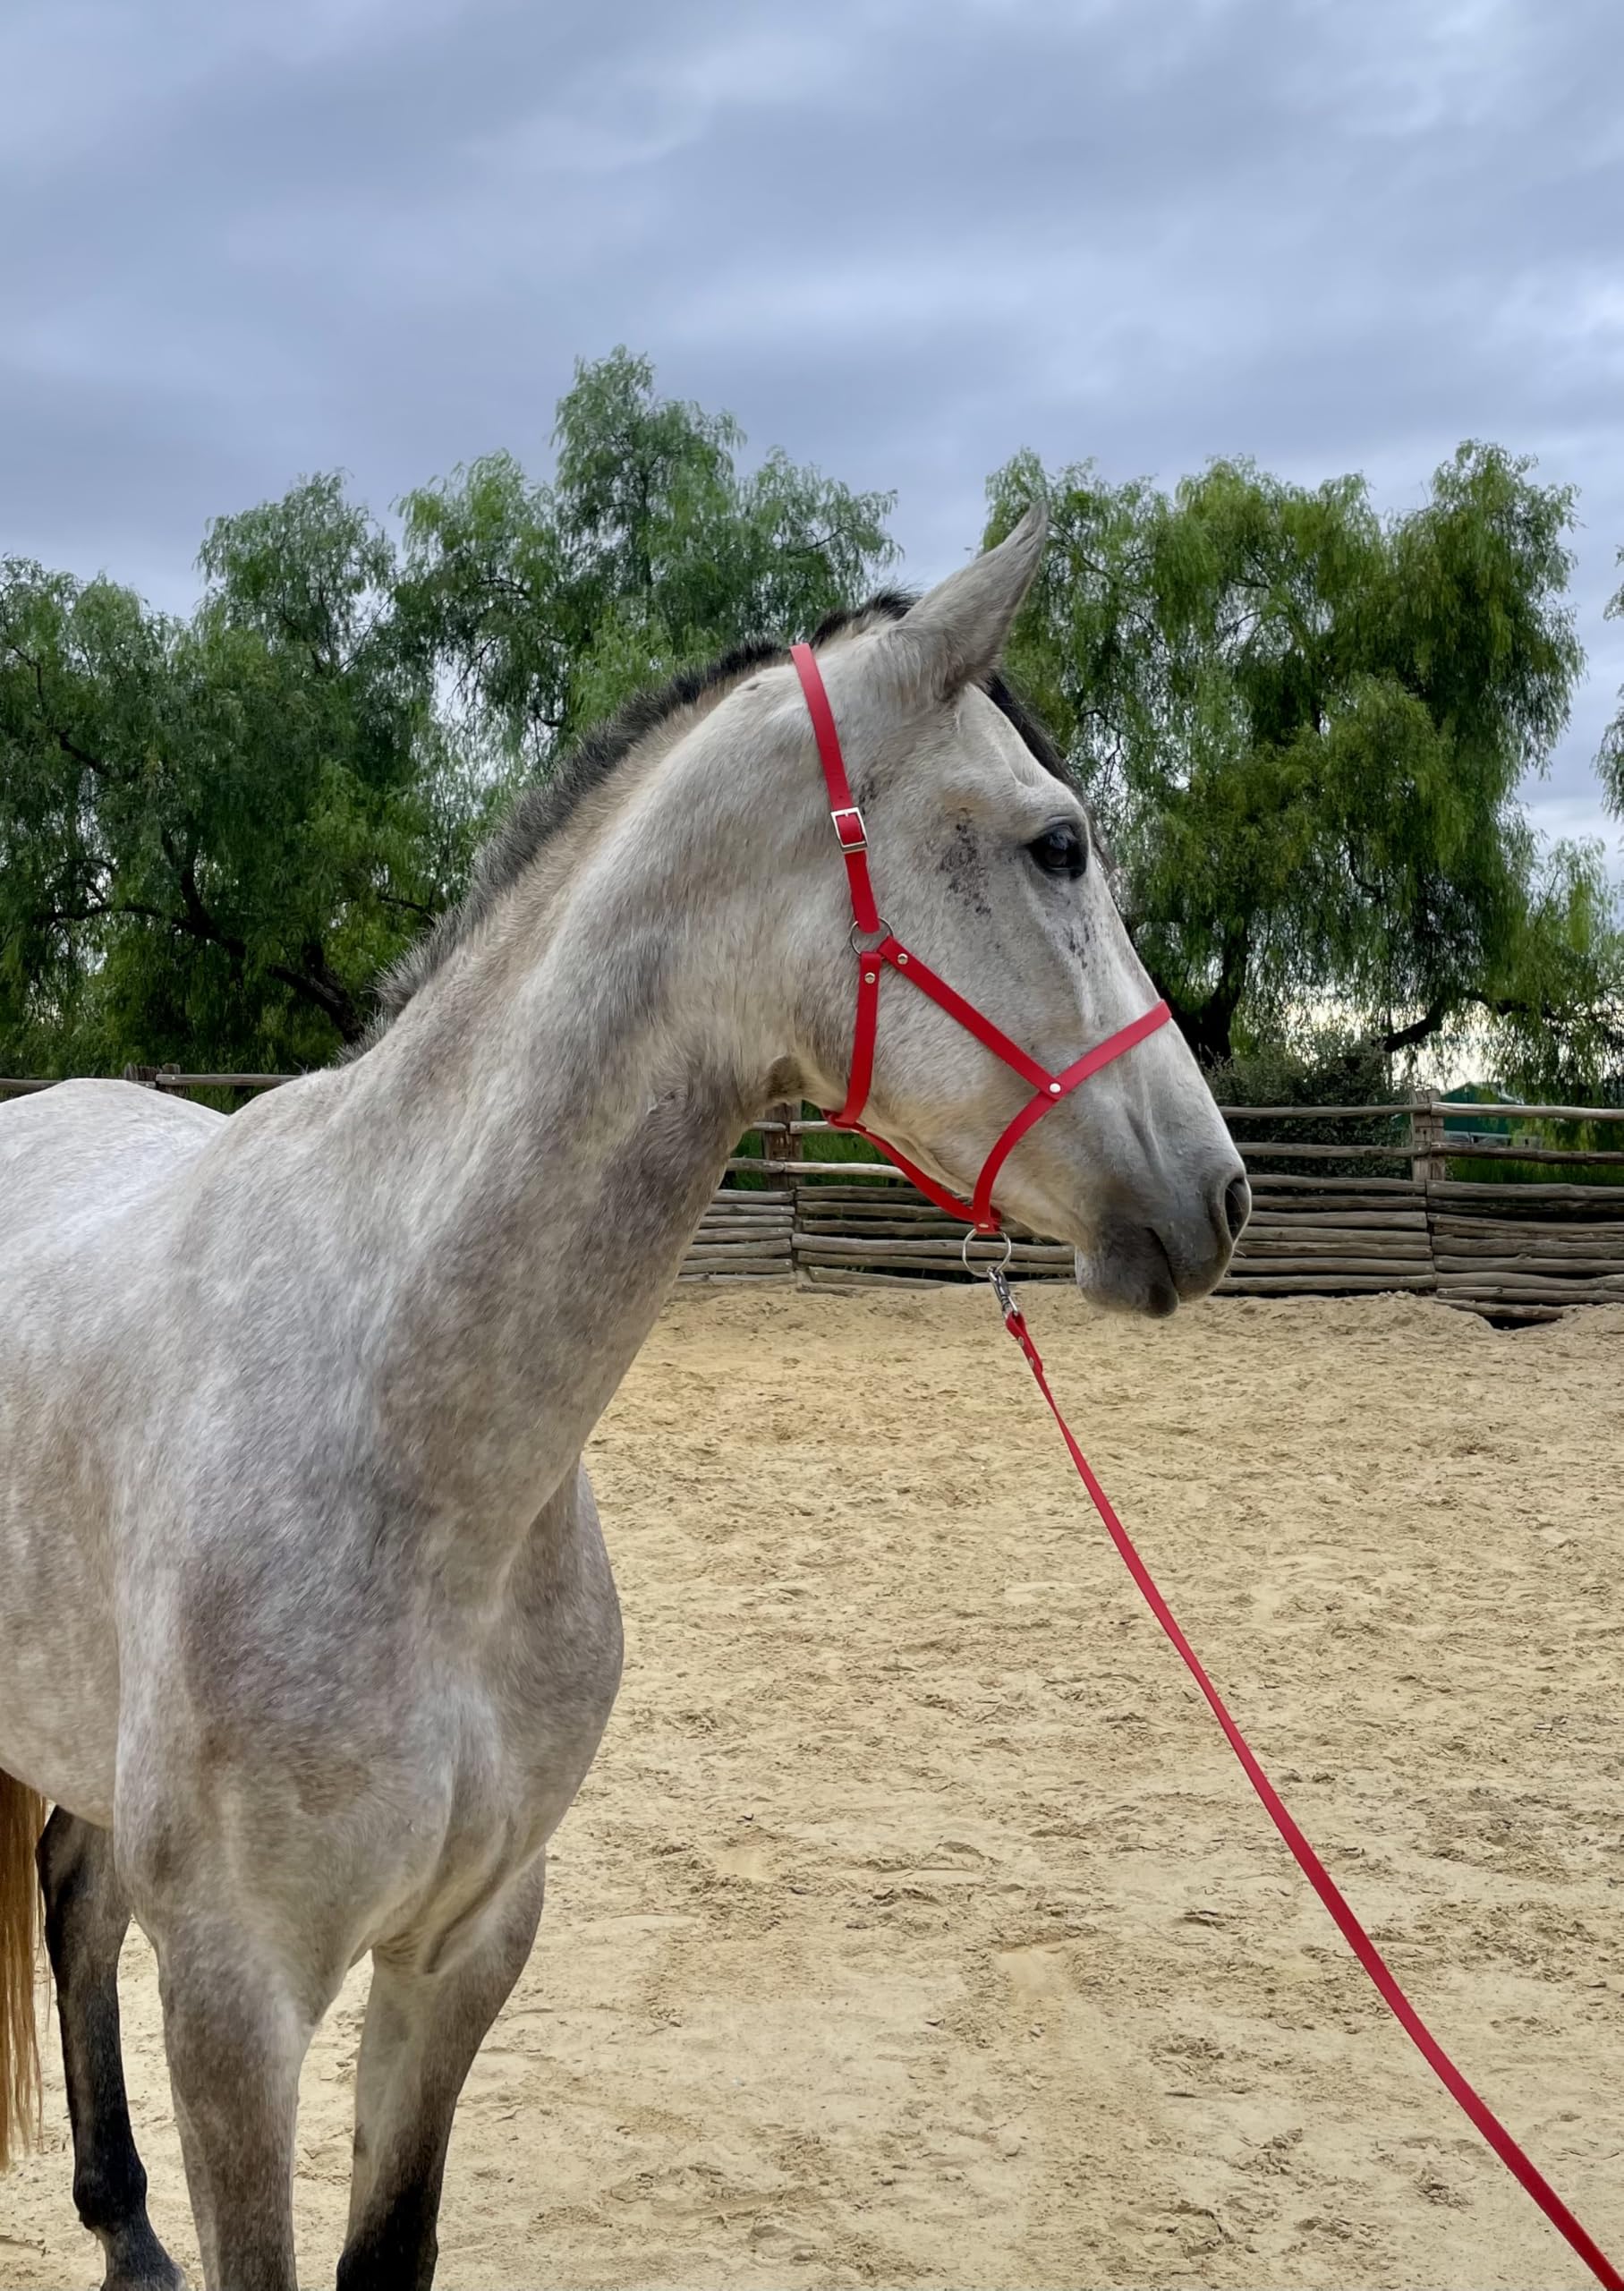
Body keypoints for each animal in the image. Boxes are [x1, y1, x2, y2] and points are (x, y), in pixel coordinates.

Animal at [0, 507, 1247, 2289]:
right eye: (1057, 844)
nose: (1219, 1198)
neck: (404, 1433)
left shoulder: (464, 1948)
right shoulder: (237, 1999)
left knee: (78, 1896)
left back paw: (124, 2227)